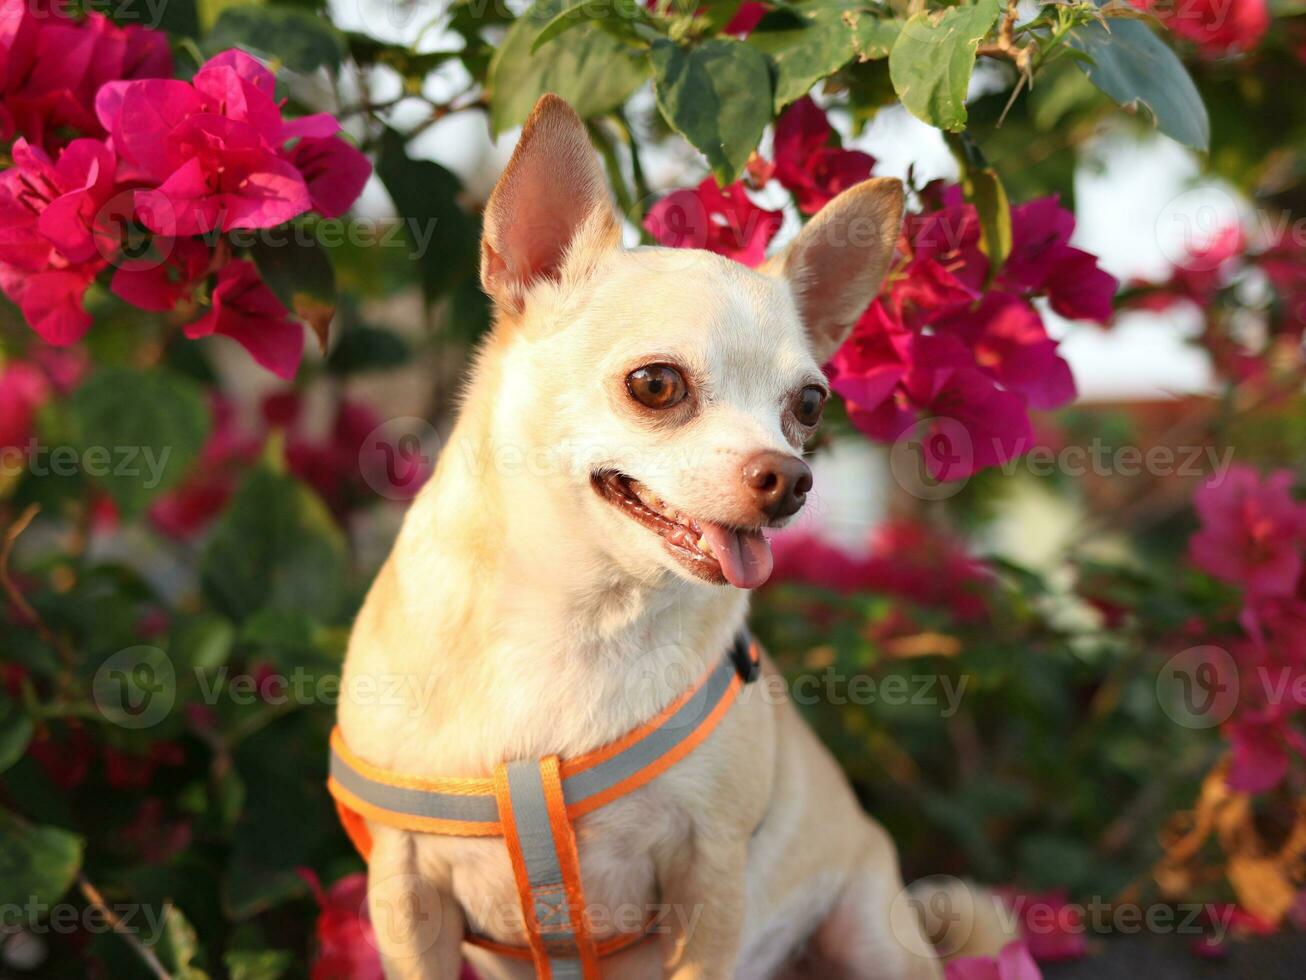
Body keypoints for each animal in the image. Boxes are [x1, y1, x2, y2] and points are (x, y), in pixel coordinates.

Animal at [334, 94, 1008, 980]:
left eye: (810, 404)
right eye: (655, 385)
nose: (791, 478)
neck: (576, 619)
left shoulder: (708, 878)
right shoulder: (406, 893)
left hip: (870, 933)